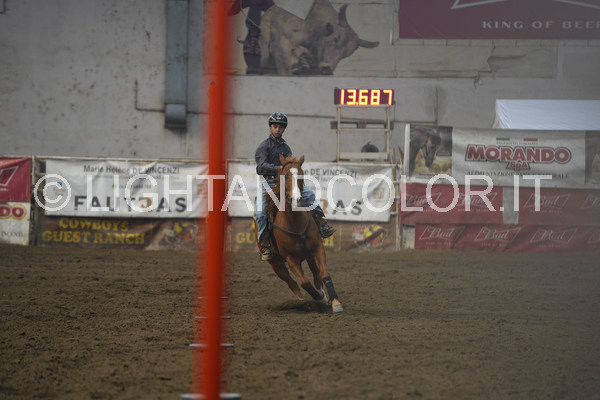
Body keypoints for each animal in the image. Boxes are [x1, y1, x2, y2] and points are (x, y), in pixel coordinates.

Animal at [254, 154, 344, 313]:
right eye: (284, 175)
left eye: (302, 174)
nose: (296, 199)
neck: (295, 223)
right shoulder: (291, 259)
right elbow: (304, 282)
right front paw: (319, 297)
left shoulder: (317, 248)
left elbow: (324, 274)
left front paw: (334, 302)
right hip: (276, 263)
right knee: (292, 282)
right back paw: (303, 301)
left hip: (308, 257)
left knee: (316, 275)